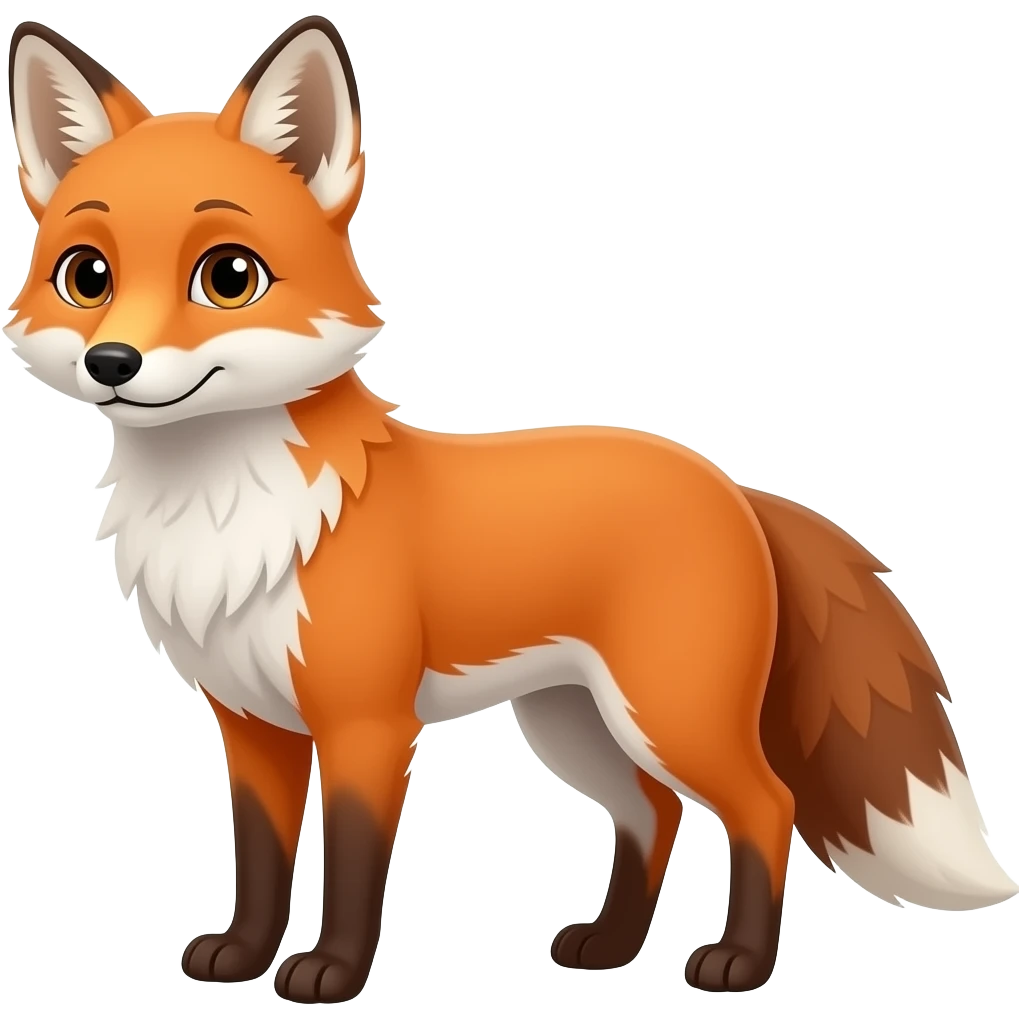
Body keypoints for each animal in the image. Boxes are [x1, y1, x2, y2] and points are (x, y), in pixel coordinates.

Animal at [5, 14, 1016, 1005]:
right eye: (87, 276)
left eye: (228, 277)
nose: (112, 362)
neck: (228, 510)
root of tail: (731, 484)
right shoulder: (251, 723)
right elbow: (259, 858)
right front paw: (243, 954)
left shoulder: (368, 723)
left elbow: (353, 863)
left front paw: (332, 973)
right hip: (575, 724)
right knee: (654, 812)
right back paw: (609, 946)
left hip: (669, 713)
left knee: (766, 806)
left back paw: (737, 963)